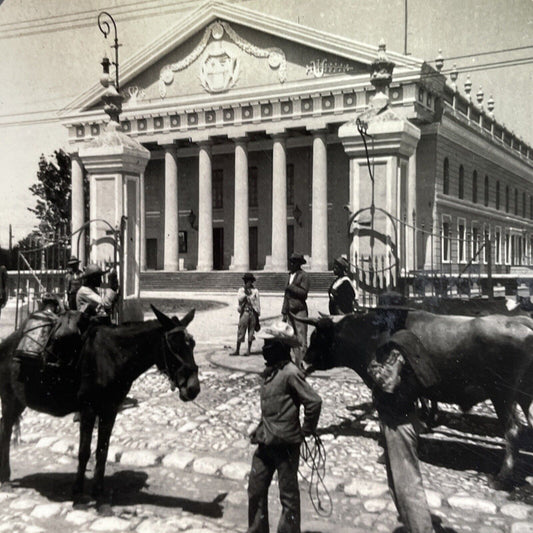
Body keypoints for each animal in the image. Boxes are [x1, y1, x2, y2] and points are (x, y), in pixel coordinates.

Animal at [0, 304, 198, 508]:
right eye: (174, 345)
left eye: (192, 344)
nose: (193, 388)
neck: (112, 356)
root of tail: (8, 340)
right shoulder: (88, 409)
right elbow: (84, 451)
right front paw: (78, 495)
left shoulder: (110, 410)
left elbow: (102, 451)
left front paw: (99, 495)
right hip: (8, 398)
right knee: (5, 432)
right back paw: (5, 478)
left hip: (19, 401)